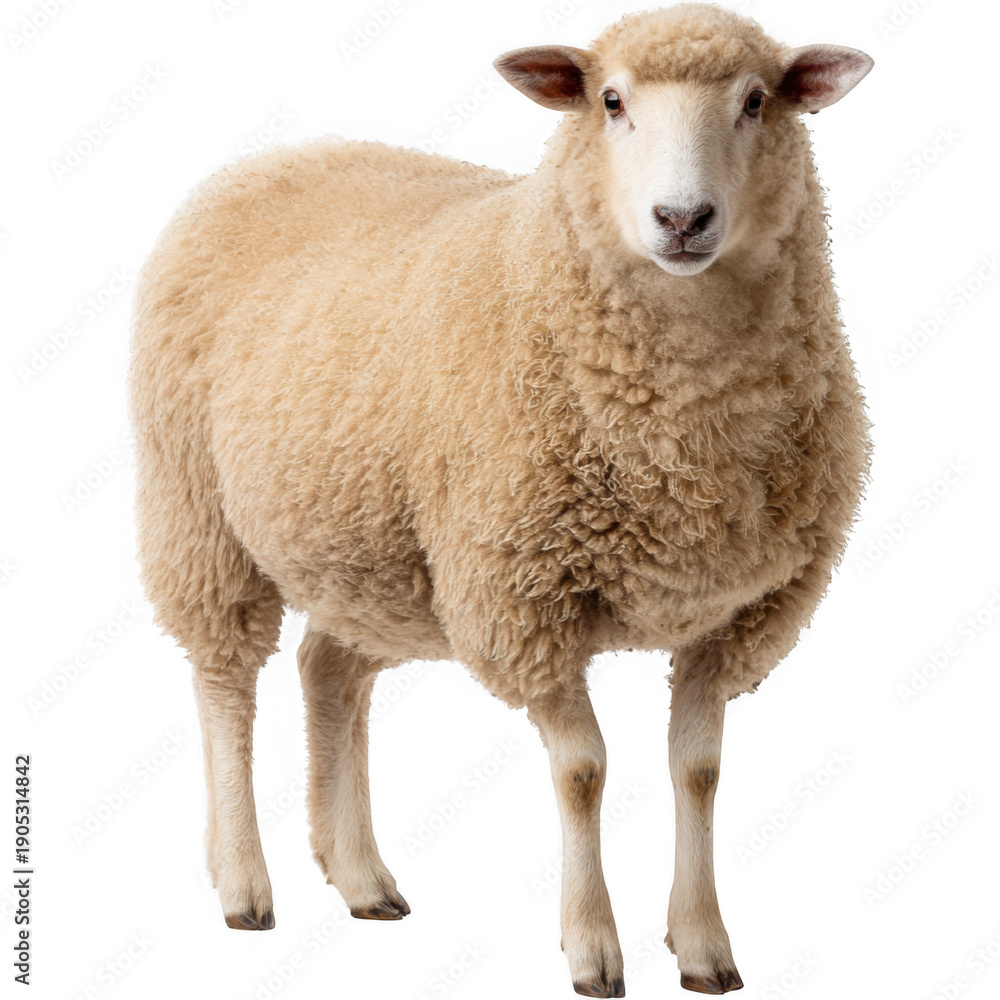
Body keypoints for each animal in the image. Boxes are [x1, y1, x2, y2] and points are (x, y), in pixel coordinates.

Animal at [128, 4, 873, 995]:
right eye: (610, 101)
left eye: (757, 101)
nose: (682, 218)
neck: (681, 446)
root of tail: (270, 157)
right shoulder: (521, 595)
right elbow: (584, 772)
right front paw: (592, 946)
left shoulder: (738, 613)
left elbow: (700, 770)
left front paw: (703, 944)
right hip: (197, 512)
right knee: (224, 683)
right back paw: (244, 883)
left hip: (377, 552)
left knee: (328, 670)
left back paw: (360, 876)